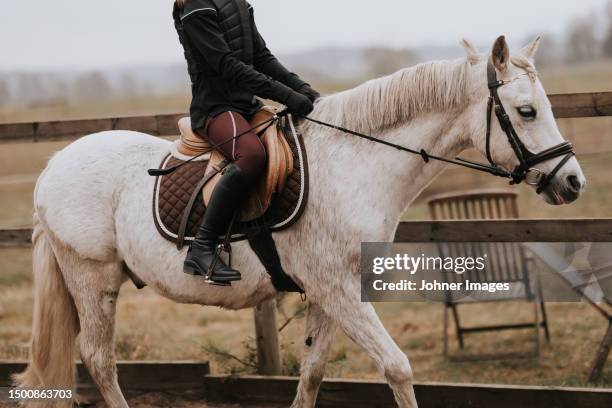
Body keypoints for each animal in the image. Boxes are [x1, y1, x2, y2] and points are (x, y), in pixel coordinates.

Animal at [16, 35, 584, 408]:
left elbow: (312, 374)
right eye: (527, 111)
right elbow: (397, 367)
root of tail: (55, 164)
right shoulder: (337, 289)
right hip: (92, 277)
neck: (356, 162)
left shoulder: (331, 292)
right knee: (99, 359)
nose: (573, 182)